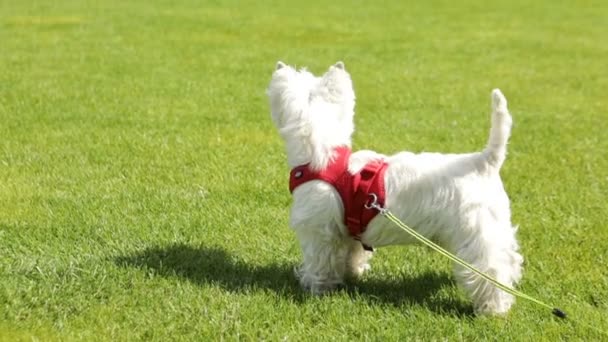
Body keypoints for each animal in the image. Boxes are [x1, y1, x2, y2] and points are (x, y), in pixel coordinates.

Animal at [266, 60, 524, 314]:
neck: (325, 158)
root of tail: (485, 161)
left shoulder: (319, 231)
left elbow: (320, 261)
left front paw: (315, 288)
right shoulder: (349, 231)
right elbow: (352, 254)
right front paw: (352, 275)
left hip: (477, 231)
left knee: (491, 270)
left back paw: (492, 309)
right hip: (495, 226)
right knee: (510, 260)